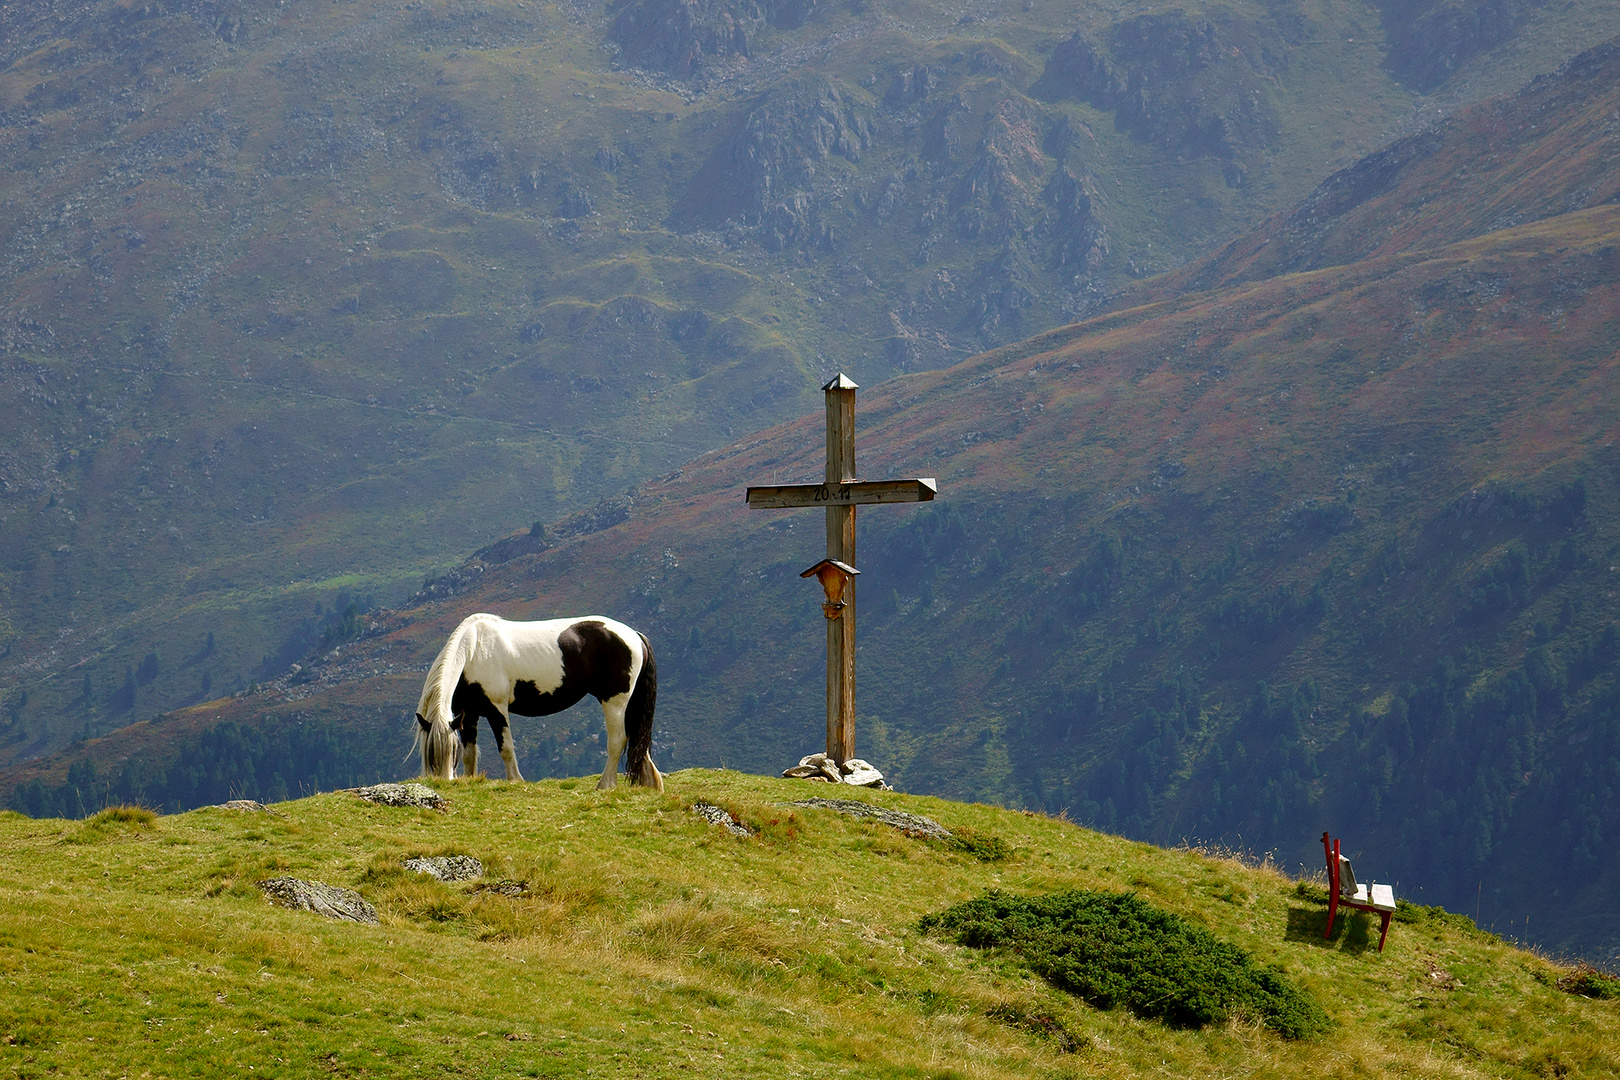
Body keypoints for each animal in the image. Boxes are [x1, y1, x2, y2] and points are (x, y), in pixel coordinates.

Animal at [414, 612, 660, 790]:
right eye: (429, 754)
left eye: (450, 752)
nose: (443, 782)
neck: (473, 651)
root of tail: (635, 635)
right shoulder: (469, 713)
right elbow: (470, 754)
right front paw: (471, 780)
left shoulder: (497, 709)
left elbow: (506, 748)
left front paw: (515, 780)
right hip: (630, 704)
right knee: (638, 739)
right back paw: (649, 783)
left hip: (614, 702)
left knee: (617, 741)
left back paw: (605, 785)